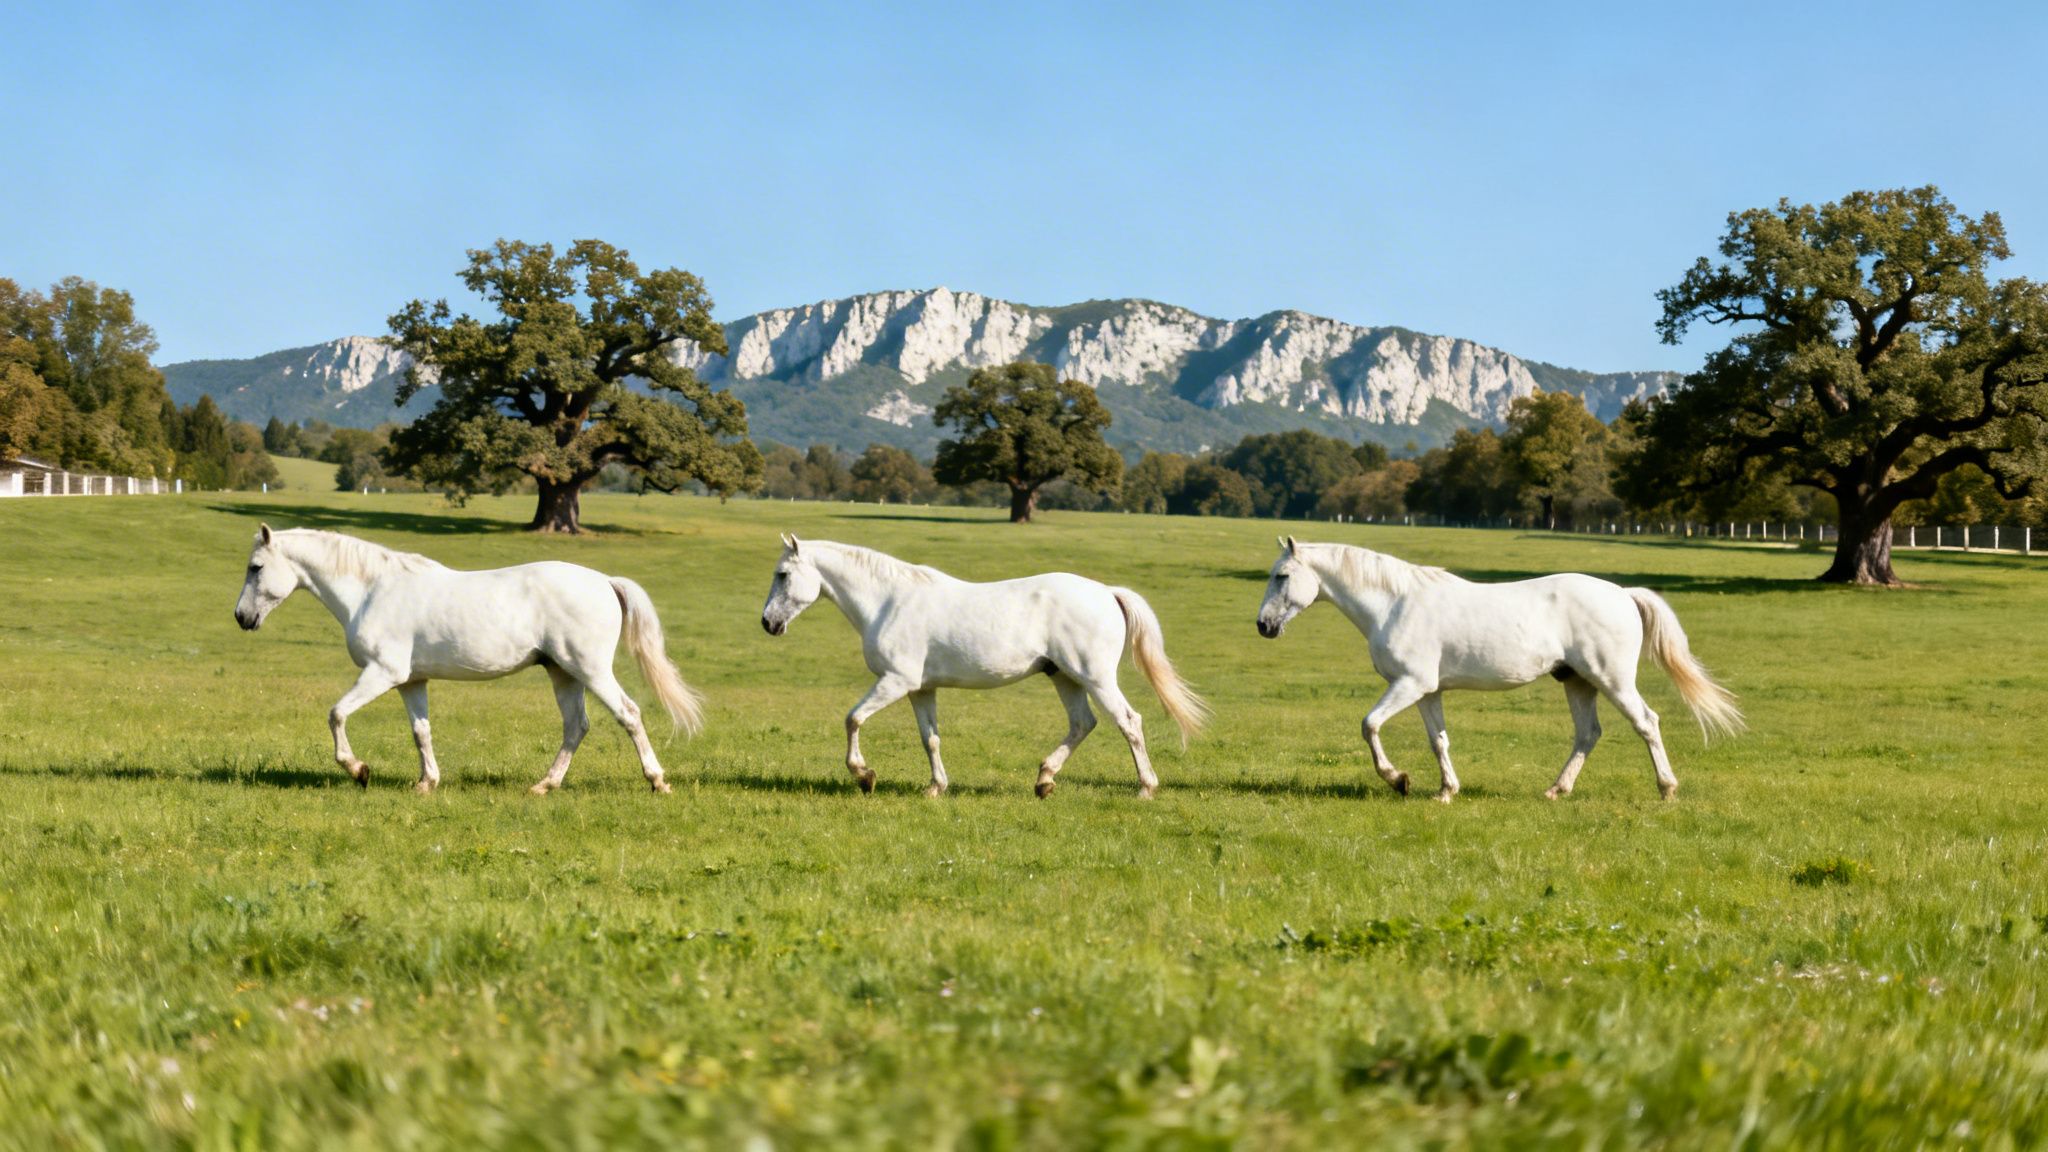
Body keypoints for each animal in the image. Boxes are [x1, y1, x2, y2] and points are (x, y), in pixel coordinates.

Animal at [233, 524, 702, 794]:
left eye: (256, 567)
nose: (241, 617)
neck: (372, 591)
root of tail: (604, 581)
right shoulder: (410, 681)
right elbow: (421, 732)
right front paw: (426, 783)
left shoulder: (382, 673)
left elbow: (336, 714)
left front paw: (359, 770)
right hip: (563, 672)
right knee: (576, 726)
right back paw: (544, 786)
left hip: (590, 669)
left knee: (629, 714)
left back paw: (657, 781)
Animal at [758, 536, 1208, 798]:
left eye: (782, 575)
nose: (767, 623)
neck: (888, 601)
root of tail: (1107, 592)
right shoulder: (920, 689)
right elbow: (930, 739)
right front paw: (935, 788)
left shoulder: (894, 681)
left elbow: (852, 719)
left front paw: (864, 775)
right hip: (1065, 677)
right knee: (1083, 724)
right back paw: (1044, 781)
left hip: (1094, 677)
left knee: (1128, 722)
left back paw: (1145, 788)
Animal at [1254, 536, 1742, 801]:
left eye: (1282, 576)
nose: (1263, 625)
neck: (1394, 604)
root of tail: (1623, 594)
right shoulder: (1427, 690)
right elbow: (1439, 741)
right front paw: (1446, 791)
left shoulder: (1408, 685)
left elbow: (1369, 725)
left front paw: (1399, 780)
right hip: (1578, 682)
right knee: (1588, 734)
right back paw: (1556, 790)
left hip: (1612, 679)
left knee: (1647, 723)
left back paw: (1667, 788)